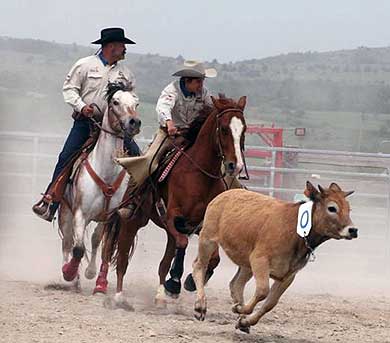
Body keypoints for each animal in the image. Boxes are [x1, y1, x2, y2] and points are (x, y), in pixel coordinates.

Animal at [59, 82, 140, 294]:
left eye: (136, 103)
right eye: (115, 102)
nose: (134, 122)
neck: (106, 172)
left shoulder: (110, 217)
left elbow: (103, 246)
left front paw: (98, 281)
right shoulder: (80, 213)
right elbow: (78, 248)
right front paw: (69, 273)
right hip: (66, 213)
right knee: (67, 243)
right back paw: (69, 278)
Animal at [105, 95, 247, 308]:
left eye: (244, 129)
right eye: (223, 128)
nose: (234, 166)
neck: (199, 174)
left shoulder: (200, 225)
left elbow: (213, 258)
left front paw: (189, 282)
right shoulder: (172, 216)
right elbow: (183, 243)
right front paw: (175, 283)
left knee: (164, 262)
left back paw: (160, 297)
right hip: (134, 220)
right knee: (123, 258)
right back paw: (120, 296)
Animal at [192, 181, 356, 334]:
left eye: (349, 209)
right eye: (332, 208)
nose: (353, 230)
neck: (294, 232)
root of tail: (225, 194)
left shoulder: (288, 276)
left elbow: (270, 303)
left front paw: (244, 320)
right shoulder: (259, 260)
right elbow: (263, 291)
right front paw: (240, 310)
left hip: (246, 264)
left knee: (236, 284)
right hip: (207, 238)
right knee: (199, 266)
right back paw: (200, 306)